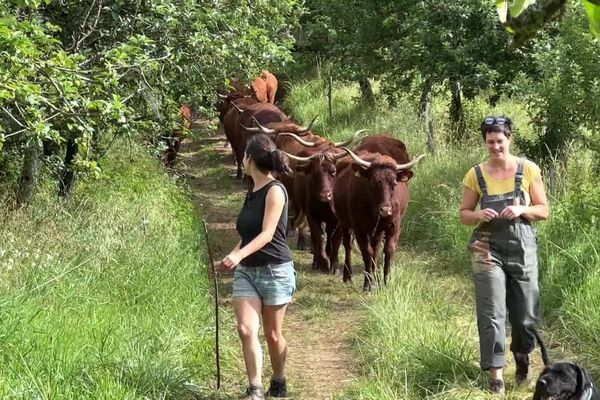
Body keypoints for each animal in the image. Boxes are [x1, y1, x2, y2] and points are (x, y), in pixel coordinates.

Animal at [330, 138, 424, 290]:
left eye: (394, 183)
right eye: (373, 183)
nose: (385, 210)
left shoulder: (394, 225)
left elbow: (387, 250)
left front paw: (386, 281)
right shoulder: (359, 228)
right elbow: (367, 252)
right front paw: (368, 283)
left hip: (377, 231)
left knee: (375, 249)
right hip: (344, 222)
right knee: (348, 245)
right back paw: (348, 275)